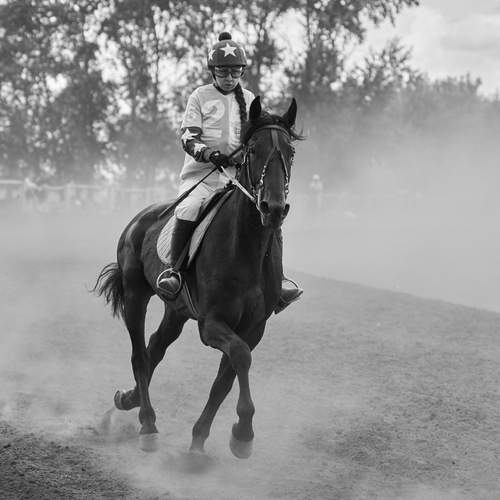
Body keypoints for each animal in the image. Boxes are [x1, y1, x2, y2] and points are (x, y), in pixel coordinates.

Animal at [93, 96, 303, 457]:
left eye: (289, 151)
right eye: (253, 150)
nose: (273, 208)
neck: (246, 249)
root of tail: (137, 220)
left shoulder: (253, 328)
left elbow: (225, 380)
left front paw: (200, 441)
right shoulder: (211, 323)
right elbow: (240, 357)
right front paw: (243, 433)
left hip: (176, 311)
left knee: (155, 348)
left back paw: (128, 399)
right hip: (136, 295)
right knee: (140, 354)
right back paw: (147, 423)